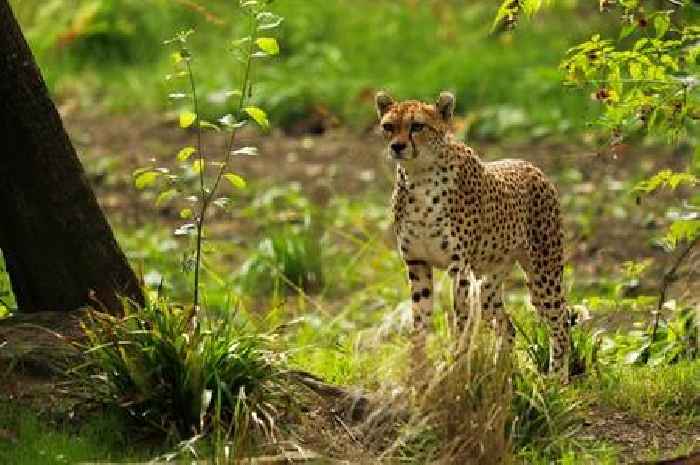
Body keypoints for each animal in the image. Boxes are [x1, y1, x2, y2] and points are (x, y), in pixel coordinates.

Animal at [378, 90, 568, 380]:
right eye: (388, 126)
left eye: (417, 126)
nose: (397, 147)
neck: (420, 174)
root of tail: (530, 165)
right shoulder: (417, 263)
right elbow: (419, 322)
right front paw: (417, 371)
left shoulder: (459, 268)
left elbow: (461, 319)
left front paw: (453, 363)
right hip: (489, 283)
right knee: (507, 325)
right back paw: (500, 373)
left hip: (544, 274)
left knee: (561, 324)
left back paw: (557, 380)